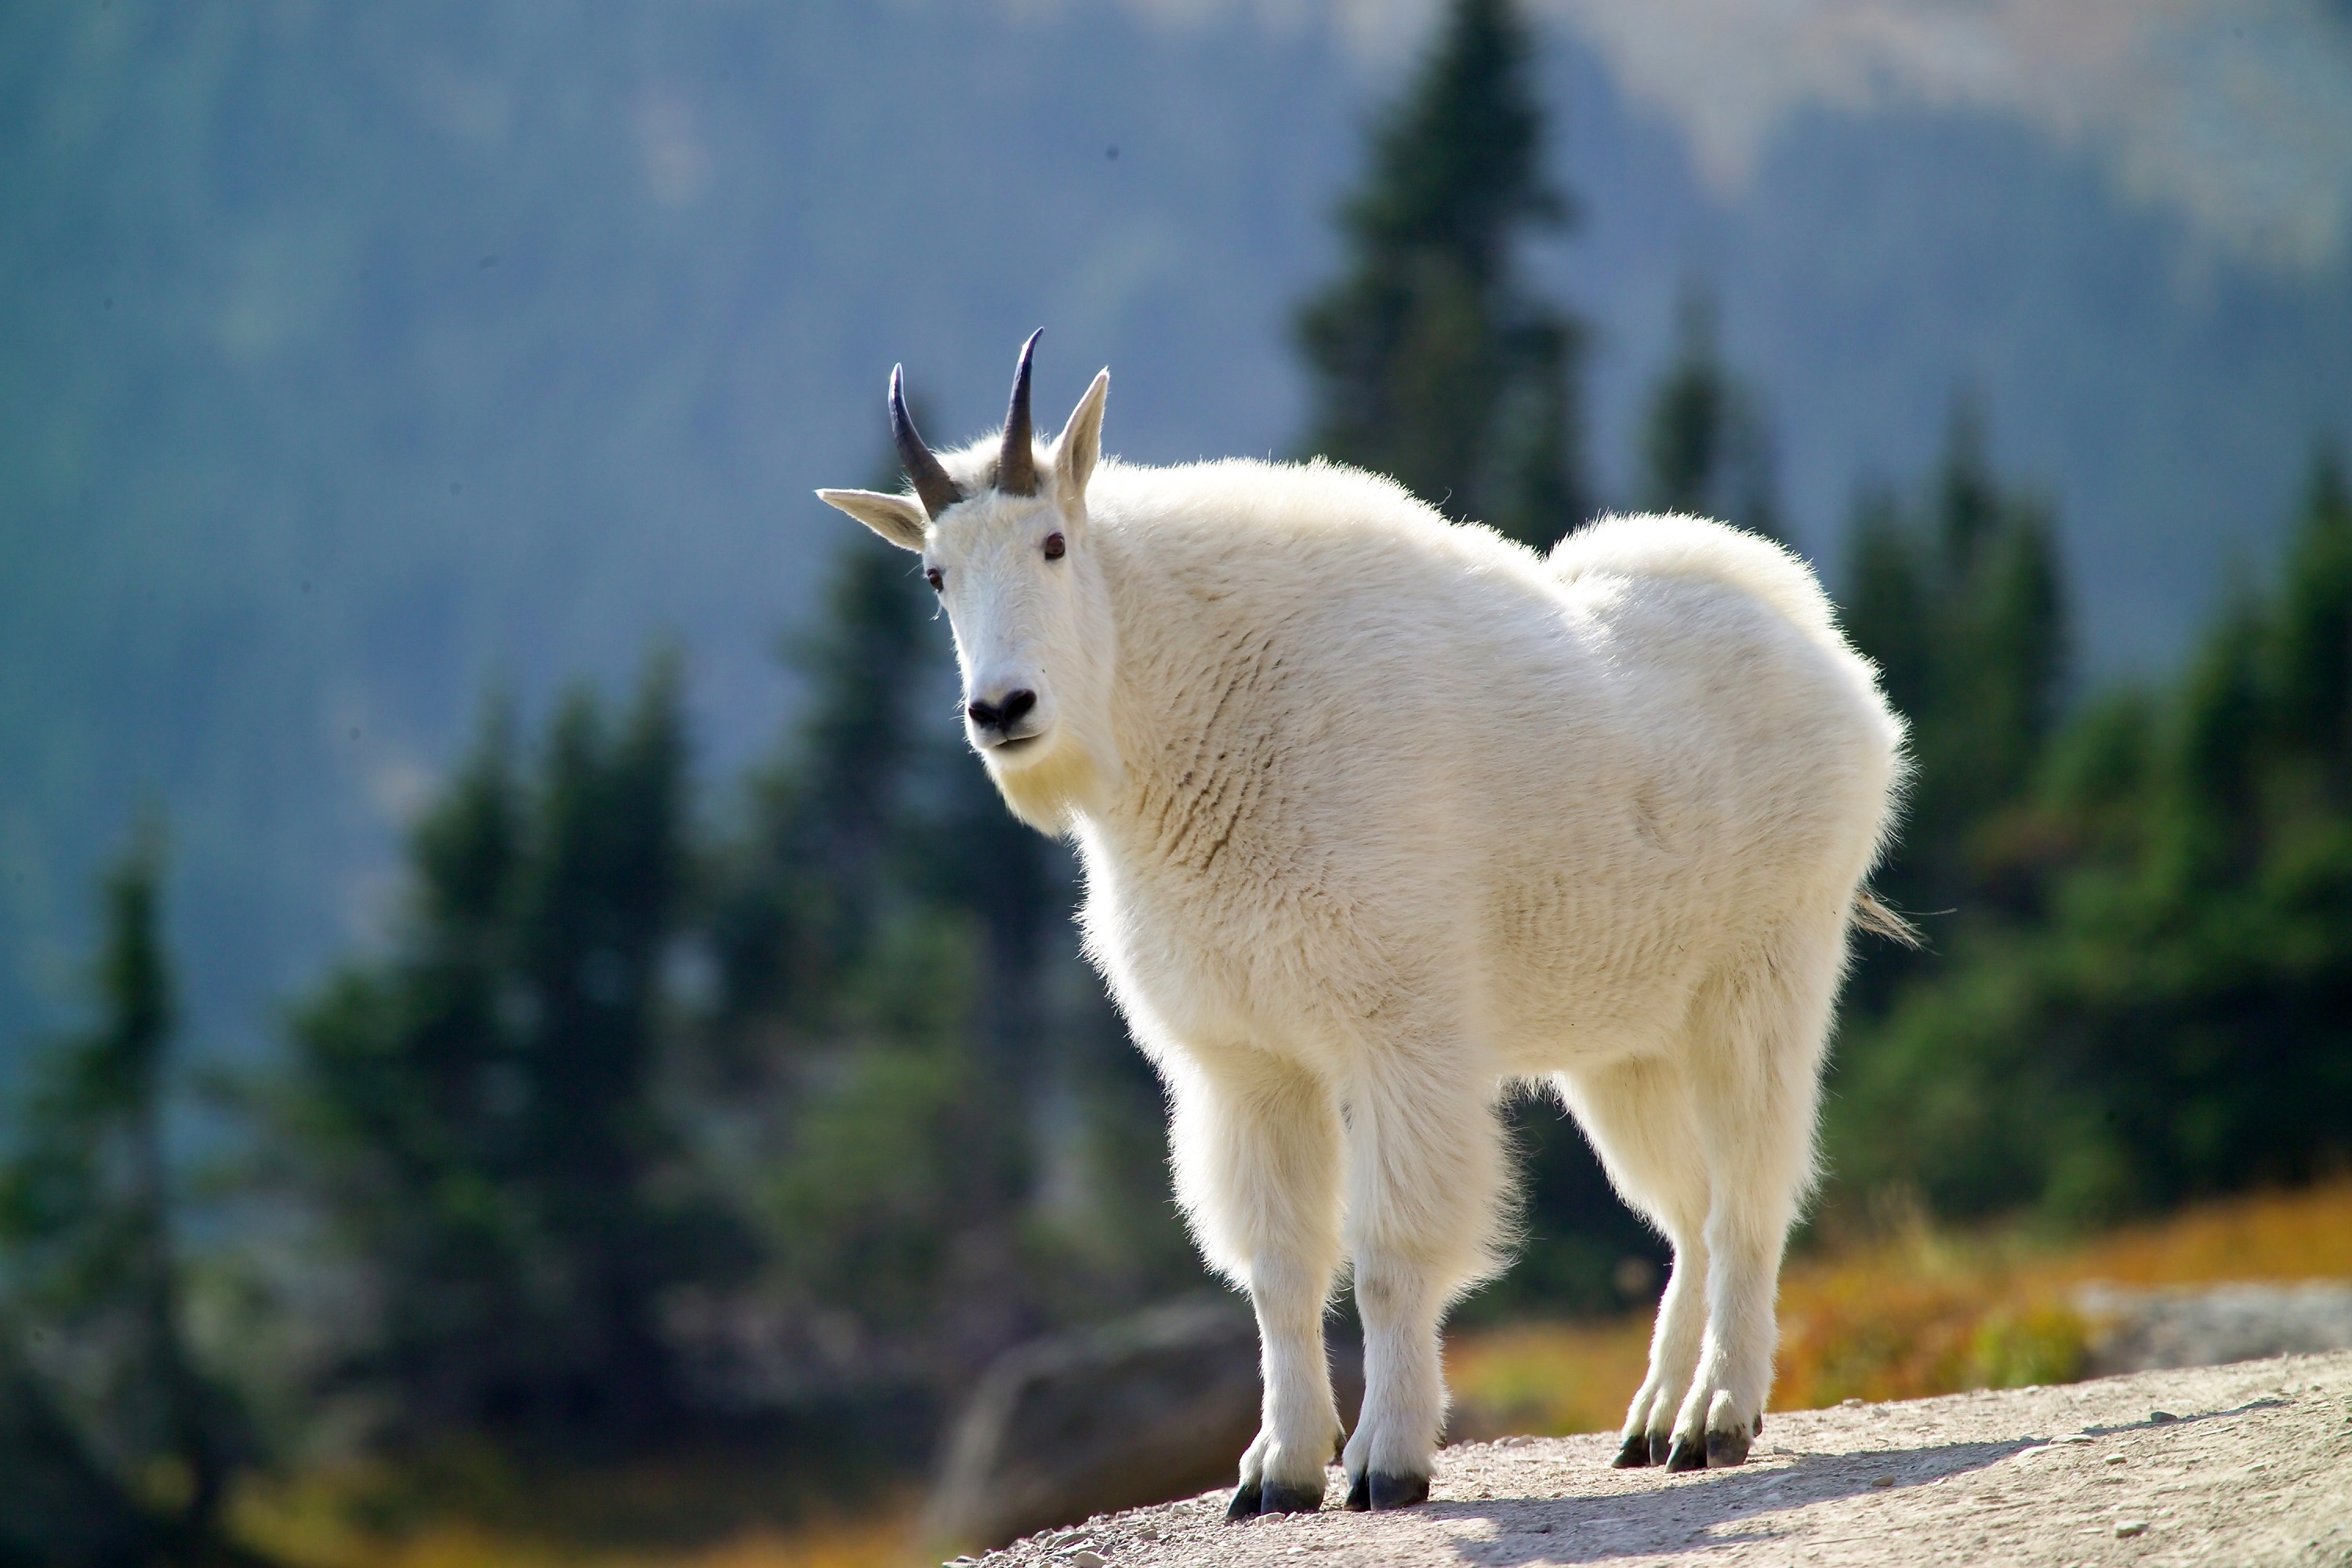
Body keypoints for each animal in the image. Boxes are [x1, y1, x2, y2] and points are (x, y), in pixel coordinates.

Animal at [819, 334, 1907, 1515]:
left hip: (1761, 979)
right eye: (936, 576)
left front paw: (1388, 1462)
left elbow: (1388, 1254)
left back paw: (1718, 1416)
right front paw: (1278, 1470)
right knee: (1688, 1209)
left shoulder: (1400, 1032)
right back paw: (1653, 1420)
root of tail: (1833, 657)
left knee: (1748, 1194)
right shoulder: (1248, 1062)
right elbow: (1279, 1268)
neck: (1189, 709)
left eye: (1055, 543)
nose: (1002, 711)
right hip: (1629, 1042)